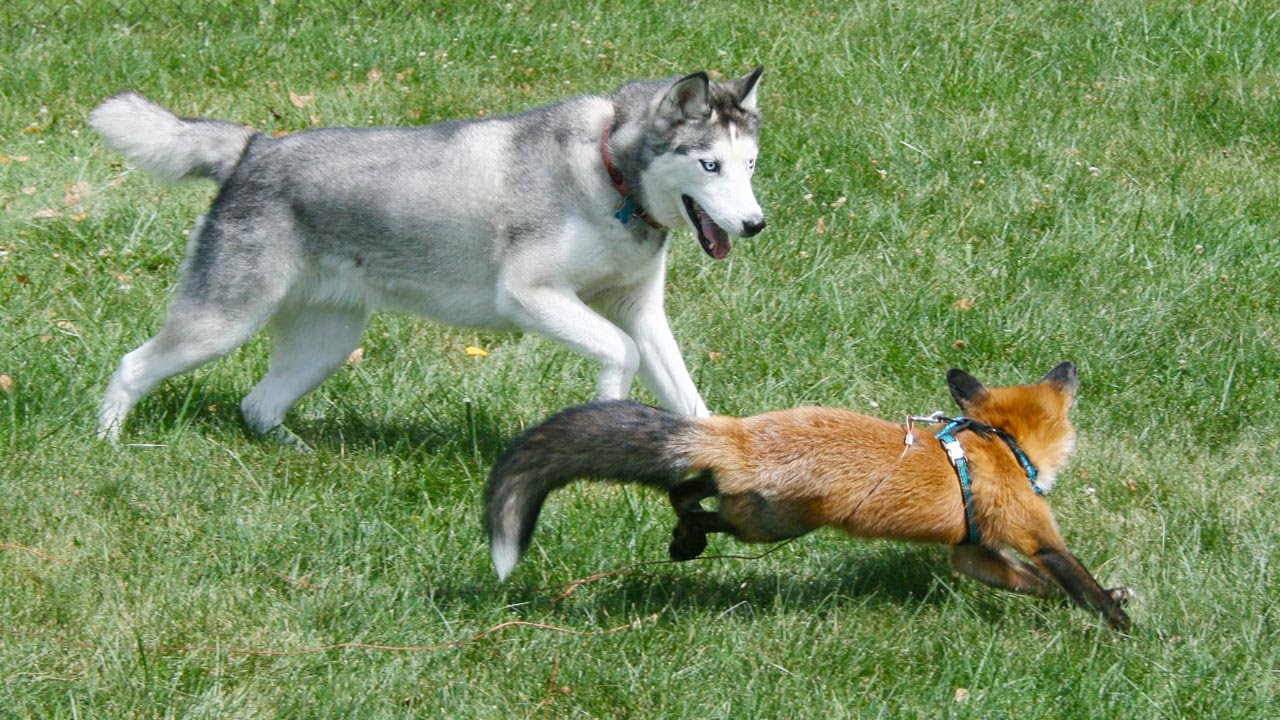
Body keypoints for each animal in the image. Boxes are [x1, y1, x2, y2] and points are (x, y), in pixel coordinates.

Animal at [485, 362, 1133, 630]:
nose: (1072, 366)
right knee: (700, 506)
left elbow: (1036, 584)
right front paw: (1121, 623)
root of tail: (738, 433)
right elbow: (1071, 578)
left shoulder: (972, 555)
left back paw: (682, 538)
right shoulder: (1033, 533)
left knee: (684, 488)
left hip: (746, 502)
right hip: (777, 525)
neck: (1000, 448)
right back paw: (688, 540)